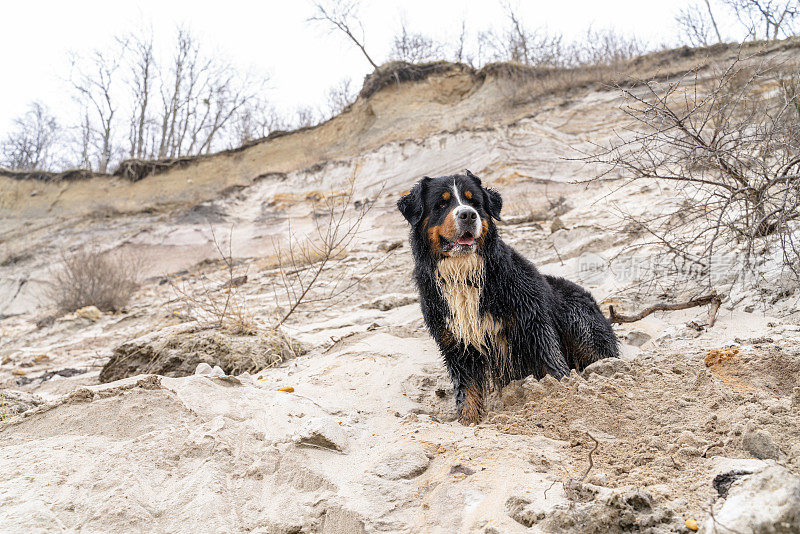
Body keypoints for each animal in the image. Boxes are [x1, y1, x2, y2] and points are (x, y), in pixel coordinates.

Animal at [396, 172, 620, 428]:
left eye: (474, 202)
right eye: (441, 204)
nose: (468, 214)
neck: (464, 275)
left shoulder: (534, 325)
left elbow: (553, 365)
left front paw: (563, 394)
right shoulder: (456, 344)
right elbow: (467, 392)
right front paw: (468, 422)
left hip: (580, 322)